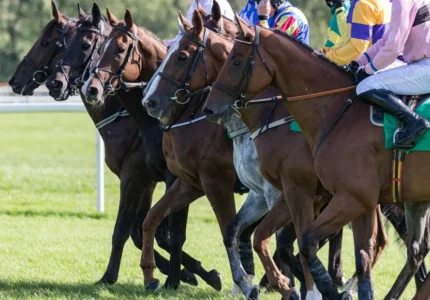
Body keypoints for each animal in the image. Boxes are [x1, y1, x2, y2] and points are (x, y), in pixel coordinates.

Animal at [12, 2, 218, 290]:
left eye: (48, 42)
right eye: (66, 43)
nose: (14, 80)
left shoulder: (144, 176)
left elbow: (148, 230)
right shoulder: (145, 178)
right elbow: (141, 230)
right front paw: (187, 272)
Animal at [203, 13, 430, 300]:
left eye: (236, 61)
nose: (209, 108)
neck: (336, 111)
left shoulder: (329, 195)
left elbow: (305, 240)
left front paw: (316, 289)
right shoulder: (352, 199)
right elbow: (358, 255)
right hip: (415, 199)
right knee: (416, 251)